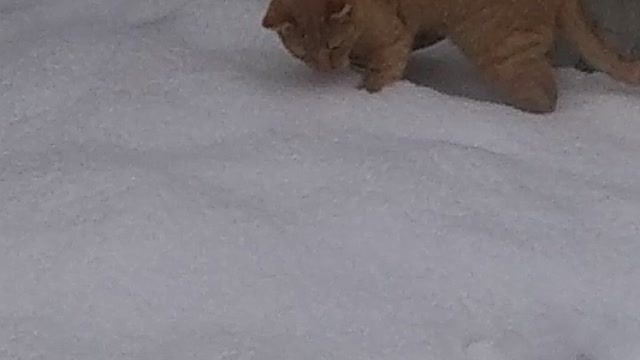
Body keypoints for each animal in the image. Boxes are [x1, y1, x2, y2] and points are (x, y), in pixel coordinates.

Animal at [260, 0, 640, 112]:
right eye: (305, 53)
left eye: (333, 46)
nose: (326, 70)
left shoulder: (392, 41)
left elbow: (380, 77)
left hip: (502, 53)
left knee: (547, 97)